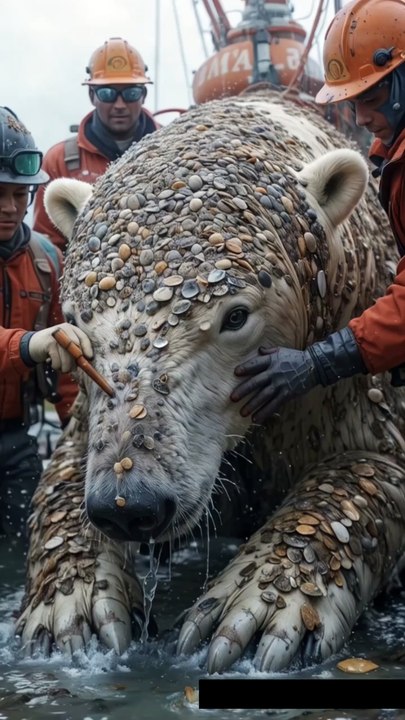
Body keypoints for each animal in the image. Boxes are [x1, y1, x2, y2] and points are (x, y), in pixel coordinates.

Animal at [16, 91, 405, 674]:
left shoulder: (354, 364)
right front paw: (71, 611)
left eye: (236, 316)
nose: (130, 503)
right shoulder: (90, 402)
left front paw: (254, 608)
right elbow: (64, 468)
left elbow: (373, 463)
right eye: (77, 322)